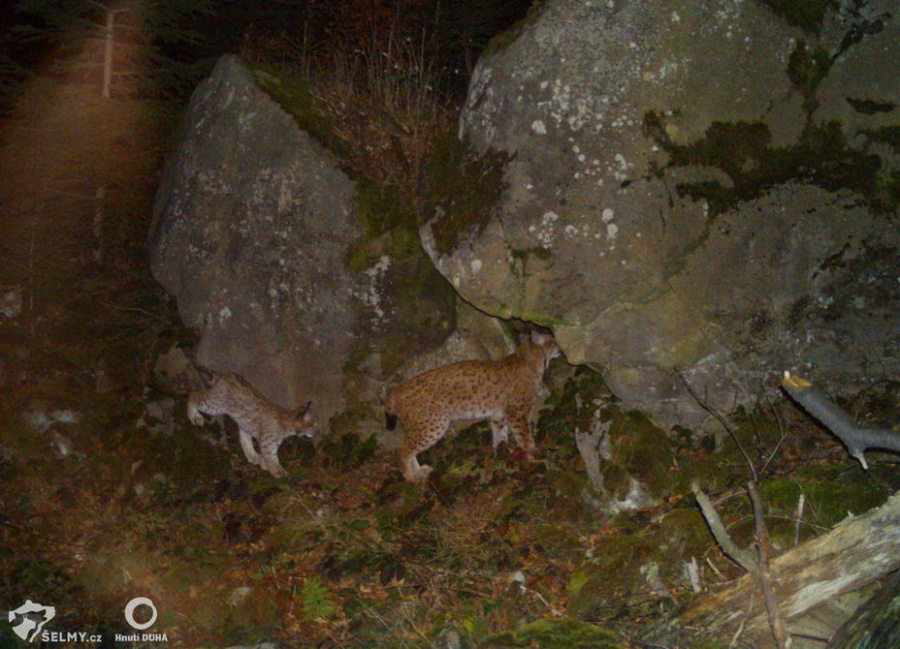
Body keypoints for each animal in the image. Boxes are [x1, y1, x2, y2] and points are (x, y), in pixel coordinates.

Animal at [186, 370, 320, 476]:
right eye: (313, 424)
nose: (318, 432)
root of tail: (226, 373)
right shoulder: (267, 442)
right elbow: (271, 456)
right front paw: (279, 472)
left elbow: (253, 447)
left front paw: (261, 462)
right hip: (217, 405)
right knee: (194, 394)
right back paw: (194, 416)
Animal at [384, 334, 560, 480]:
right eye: (553, 340)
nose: (560, 348)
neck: (527, 357)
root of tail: (396, 391)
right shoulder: (518, 412)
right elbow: (524, 435)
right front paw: (532, 454)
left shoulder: (498, 415)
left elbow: (500, 436)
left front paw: (500, 454)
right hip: (434, 424)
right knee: (401, 449)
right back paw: (412, 477)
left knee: (408, 448)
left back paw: (419, 471)